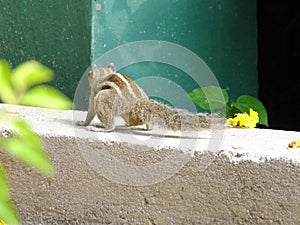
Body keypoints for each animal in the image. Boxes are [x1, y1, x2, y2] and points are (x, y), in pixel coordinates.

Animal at [77, 62, 213, 133]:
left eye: (89, 73)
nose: (88, 74)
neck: (104, 76)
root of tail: (139, 102)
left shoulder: (94, 93)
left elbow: (91, 112)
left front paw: (83, 122)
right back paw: (145, 126)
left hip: (104, 98)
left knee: (111, 125)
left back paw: (101, 128)